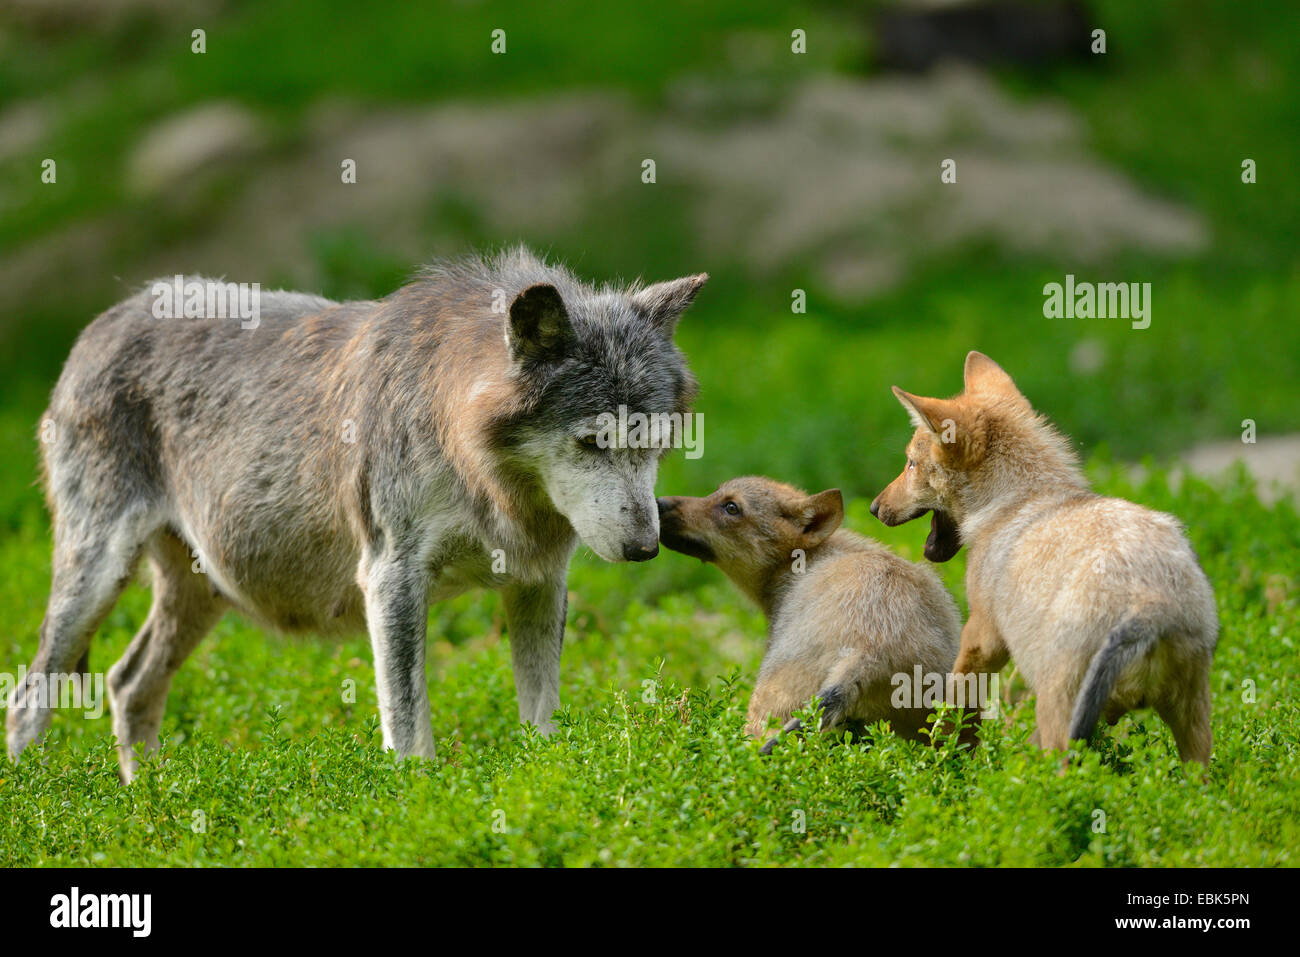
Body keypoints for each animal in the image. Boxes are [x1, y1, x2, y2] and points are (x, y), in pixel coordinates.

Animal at [5, 244, 707, 780]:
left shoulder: (537, 583)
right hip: (97, 577)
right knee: (28, 696)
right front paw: (416, 802)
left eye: (655, 442)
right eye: (593, 442)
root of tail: (105, 319)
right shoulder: (392, 580)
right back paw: (40, 798)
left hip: (201, 592)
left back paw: (145, 803)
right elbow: (409, 725)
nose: (647, 548)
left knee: (127, 684)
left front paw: (548, 782)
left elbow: (542, 719)